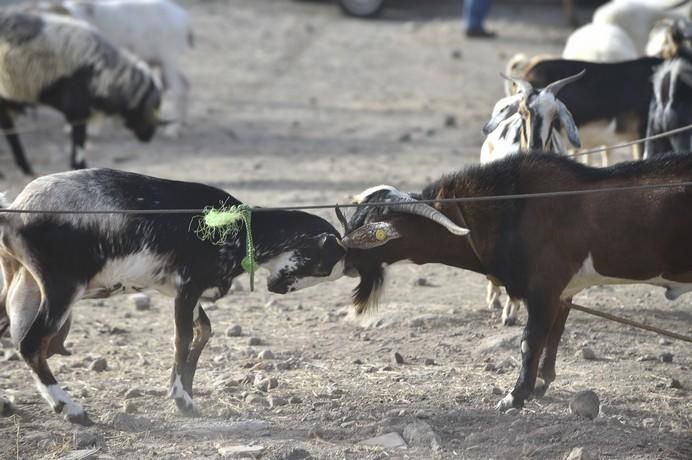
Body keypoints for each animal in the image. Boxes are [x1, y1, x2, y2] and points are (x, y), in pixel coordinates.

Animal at [0, 11, 162, 176]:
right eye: (151, 108)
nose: (149, 136)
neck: (101, 73)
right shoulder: (77, 113)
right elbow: (79, 146)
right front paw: (80, 168)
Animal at [0, 168, 346, 424]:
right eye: (322, 266)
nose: (279, 288)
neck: (240, 227)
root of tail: (15, 212)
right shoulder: (189, 286)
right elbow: (182, 338)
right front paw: (183, 400)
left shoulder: (179, 290)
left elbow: (203, 331)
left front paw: (186, 390)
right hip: (61, 287)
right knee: (31, 344)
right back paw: (70, 409)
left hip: (21, 285)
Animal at [56, 0, 191, 137]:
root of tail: (185, 18)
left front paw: (94, 129)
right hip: (161, 62)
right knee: (185, 84)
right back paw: (181, 124)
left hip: (169, 59)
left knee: (178, 90)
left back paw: (173, 130)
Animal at [336, 153, 692, 412]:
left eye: (372, 226)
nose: (345, 259)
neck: (515, 207)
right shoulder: (562, 291)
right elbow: (553, 336)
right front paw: (541, 384)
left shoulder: (544, 287)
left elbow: (529, 341)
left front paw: (515, 396)